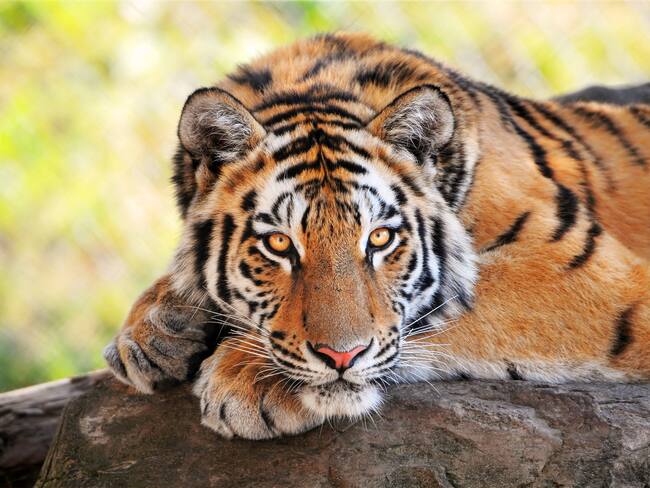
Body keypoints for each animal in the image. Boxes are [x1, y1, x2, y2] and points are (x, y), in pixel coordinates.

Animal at [103, 33, 650, 440]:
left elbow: (444, 307)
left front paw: (247, 378)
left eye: (380, 239)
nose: (341, 358)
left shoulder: (586, 271)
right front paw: (153, 330)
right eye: (279, 244)